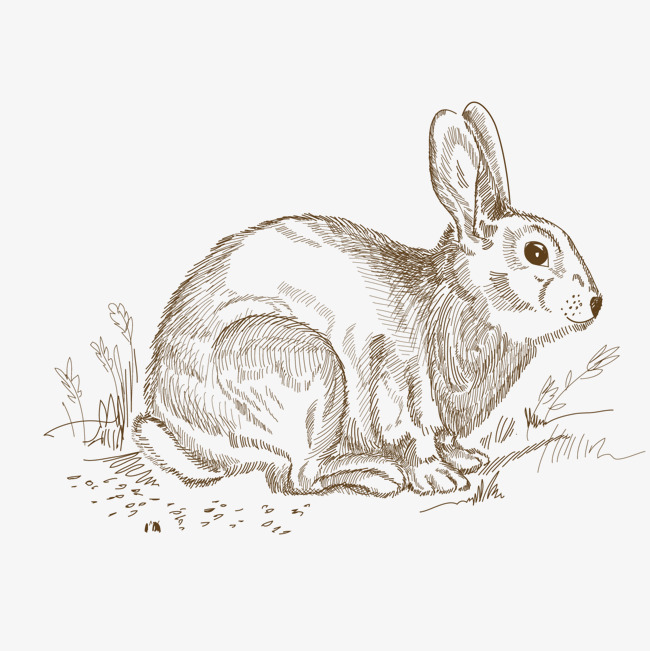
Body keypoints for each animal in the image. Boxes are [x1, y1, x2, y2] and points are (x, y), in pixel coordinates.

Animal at [133, 102, 602, 497]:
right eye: (536, 253)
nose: (596, 302)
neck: (462, 299)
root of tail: (178, 422)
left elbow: (446, 439)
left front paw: (467, 459)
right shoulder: (397, 382)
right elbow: (413, 438)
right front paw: (440, 478)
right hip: (308, 367)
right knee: (299, 476)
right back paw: (377, 476)